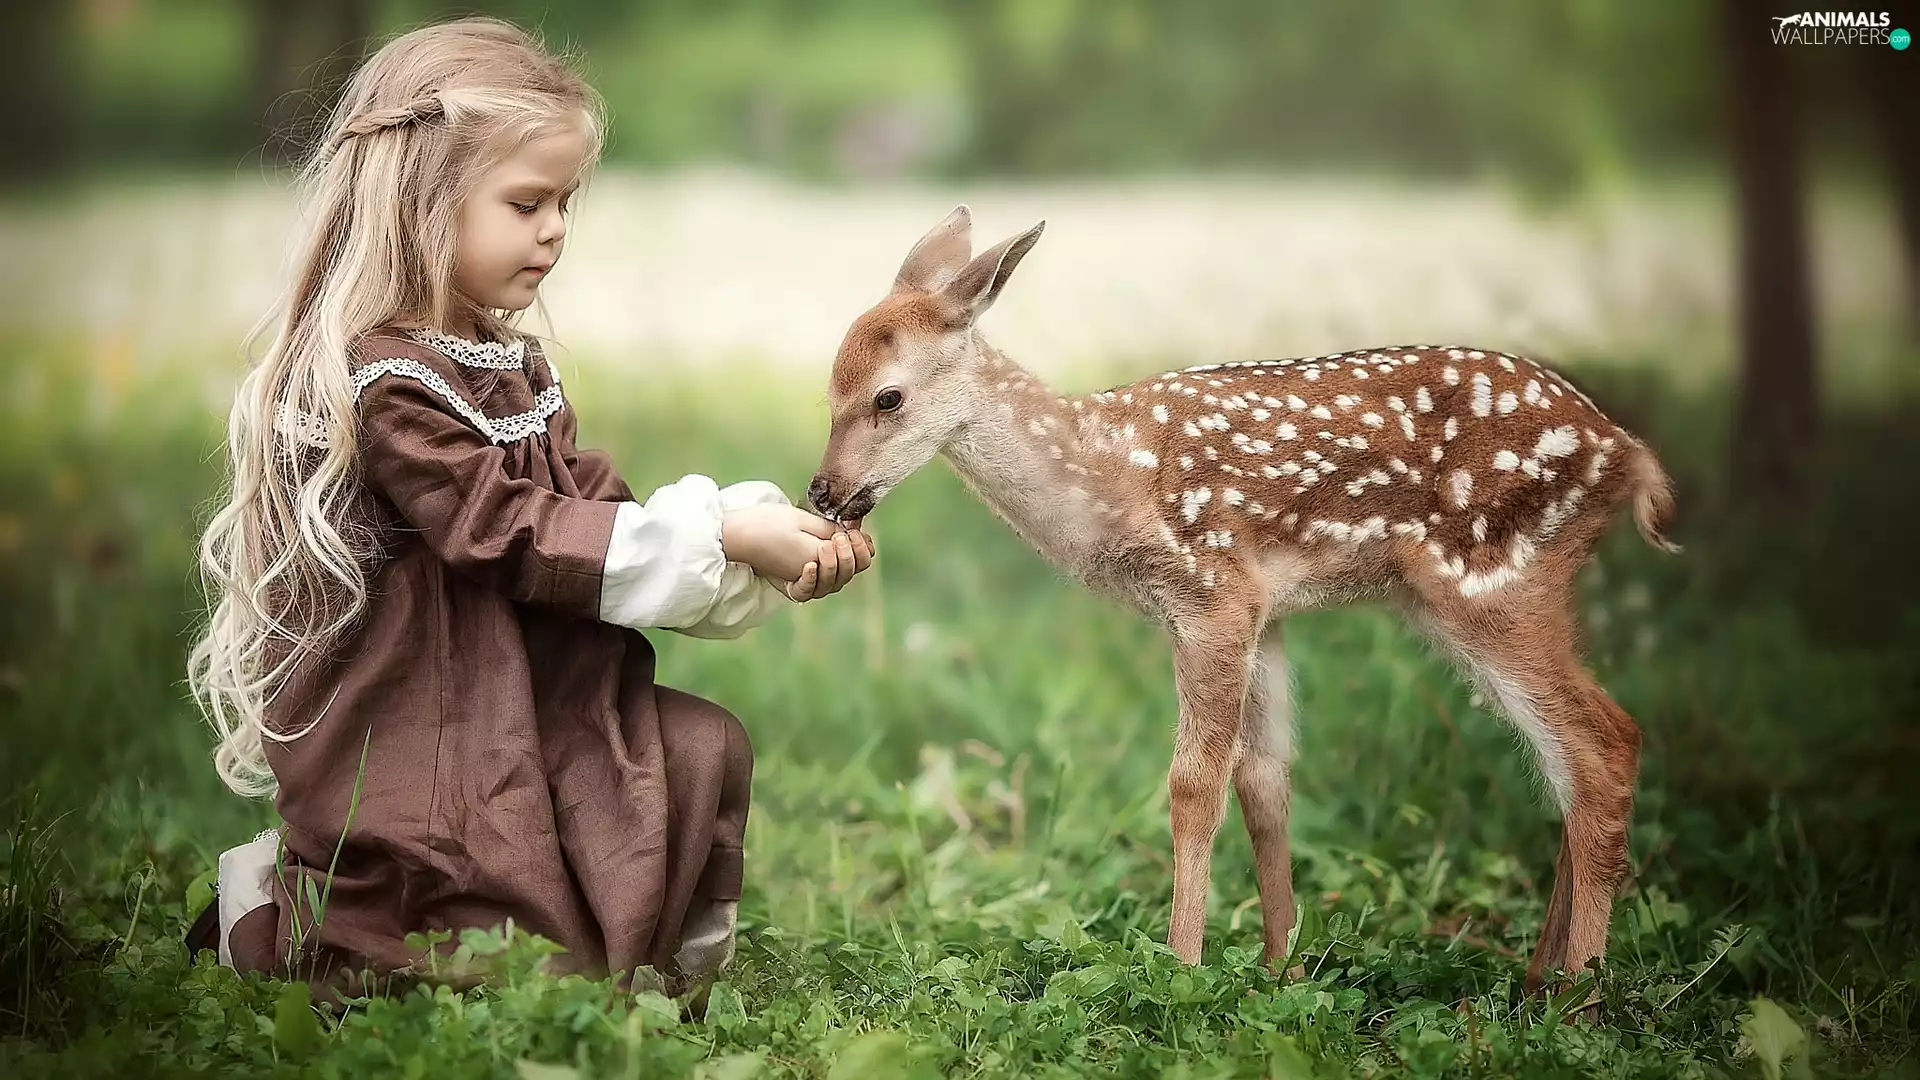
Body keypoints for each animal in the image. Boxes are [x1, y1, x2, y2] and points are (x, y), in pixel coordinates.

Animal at [805, 205, 1679, 998]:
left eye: (887, 397)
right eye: (828, 390)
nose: (823, 491)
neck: (1108, 477)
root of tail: (1628, 456)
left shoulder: (1211, 593)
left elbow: (1195, 785)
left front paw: (1182, 968)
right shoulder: (1267, 607)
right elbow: (1265, 780)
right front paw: (1278, 967)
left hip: (1495, 579)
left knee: (1603, 744)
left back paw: (1580, 998)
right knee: (1570, 760)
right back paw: (1537, 981)